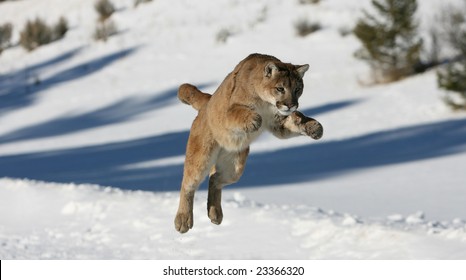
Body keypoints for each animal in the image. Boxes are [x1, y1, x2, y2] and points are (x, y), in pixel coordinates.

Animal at [173, 53, 322, 233]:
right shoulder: (229, 112)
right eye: (280, 89)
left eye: (297, 89)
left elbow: (295, 120)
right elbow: (239, 112)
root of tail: (208, 101)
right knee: (188, 183)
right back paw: (183, 220)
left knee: (214, 178)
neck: (266, 102)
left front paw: (314, 127)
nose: (291, 104)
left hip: (235, 166)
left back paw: (215, 213)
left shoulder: (278, 122)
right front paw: (254, 119)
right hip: (202, 156)